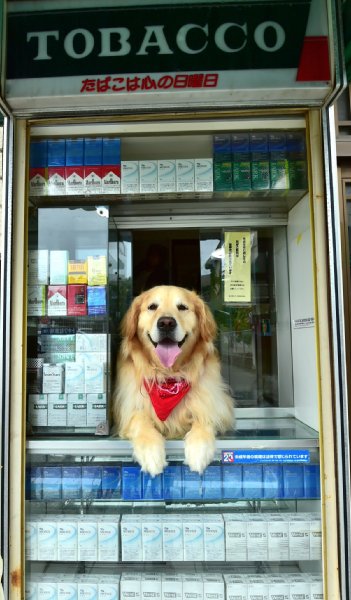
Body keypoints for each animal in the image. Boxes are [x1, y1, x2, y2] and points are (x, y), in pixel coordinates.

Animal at [114, 284, 235, 476]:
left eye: (182, 307)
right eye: (152, 307)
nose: (166, 323)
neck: (168, 377)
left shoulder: (218, 406)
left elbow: (205, 417)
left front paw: (199, 450)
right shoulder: (126, 409)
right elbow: (140, 419)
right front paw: (151, 452)